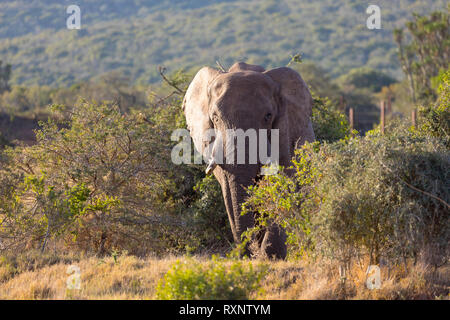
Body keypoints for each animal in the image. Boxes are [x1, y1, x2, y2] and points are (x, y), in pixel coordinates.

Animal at [181, 61, 314, 258]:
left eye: (268, 116)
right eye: (215, 118)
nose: (249, 252)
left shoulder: (286, 131)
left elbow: (283, 180)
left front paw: (271, 255)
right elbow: (228, 189)